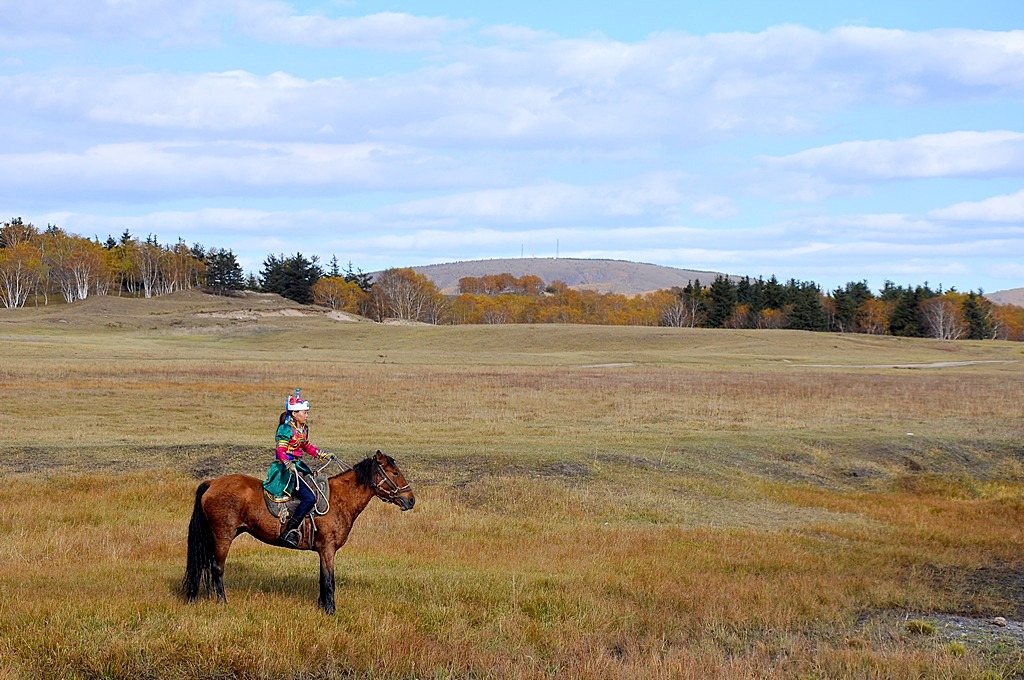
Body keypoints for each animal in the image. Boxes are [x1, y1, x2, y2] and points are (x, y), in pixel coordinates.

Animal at [184, 448, 411, 614]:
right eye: (395, 473)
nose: (411, 500)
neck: (340, 499)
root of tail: (212, 483)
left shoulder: (323, 551)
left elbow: (322, 578)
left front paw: (322, 606)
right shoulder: (328, 549)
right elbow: (329, 580)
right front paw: (331, 611)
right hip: (223, 536)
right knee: (217, 568)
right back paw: (222, 602)